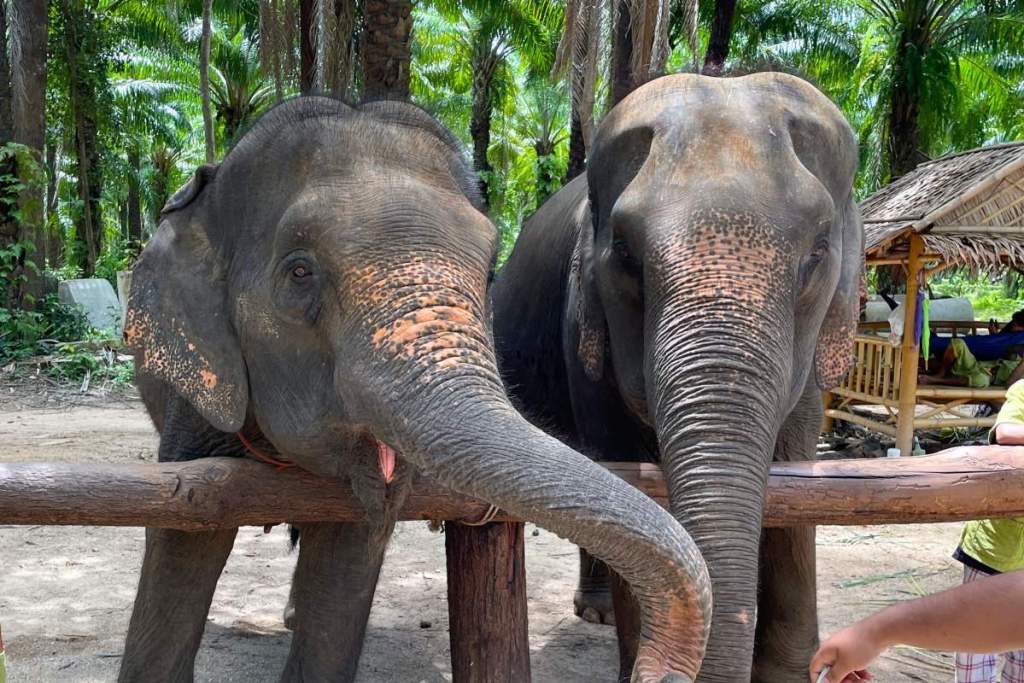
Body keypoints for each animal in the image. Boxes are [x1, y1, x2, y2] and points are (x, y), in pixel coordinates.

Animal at [119, 96, 713, 683]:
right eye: (299, 272)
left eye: (491, 270)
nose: (649, 671)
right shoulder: (198, 397)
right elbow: (184, 543)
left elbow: (352, 546)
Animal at [492, 72, 863, 682]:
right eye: (624, 253)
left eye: (817, 252)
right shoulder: (582, 334)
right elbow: (621, 470)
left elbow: (795, 473)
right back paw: (595, 613)